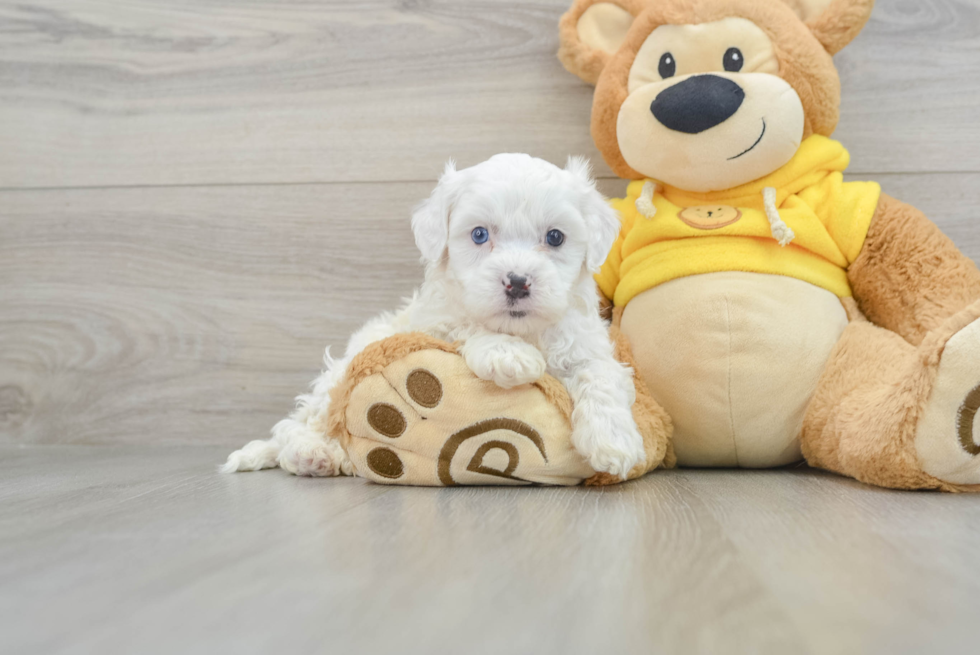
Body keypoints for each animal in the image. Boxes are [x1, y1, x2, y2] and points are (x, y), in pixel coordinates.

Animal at [225, 155, 648, 482]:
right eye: (479, 235)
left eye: (556, 237)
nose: (516, 282)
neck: (522, 329)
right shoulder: (434, 323)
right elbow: (466, 325)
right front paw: (507, 354)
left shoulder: (587, 345)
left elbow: (601, 376)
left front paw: (614, 442)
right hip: (338, 375)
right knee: (301, 425)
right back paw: (312, 453)